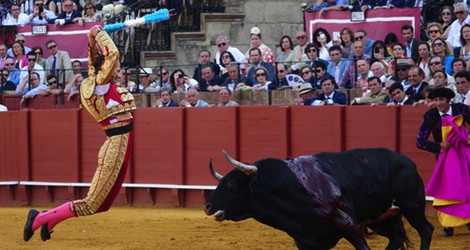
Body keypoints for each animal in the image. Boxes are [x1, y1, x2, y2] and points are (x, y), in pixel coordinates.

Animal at [205, 148, 434, 250]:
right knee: (396, 237)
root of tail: (408, 161)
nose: (207, 205)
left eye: (232, 184)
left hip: (412, 206)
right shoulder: (307, 241)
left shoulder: (349, 224)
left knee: (425, 229)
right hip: (381, 217)